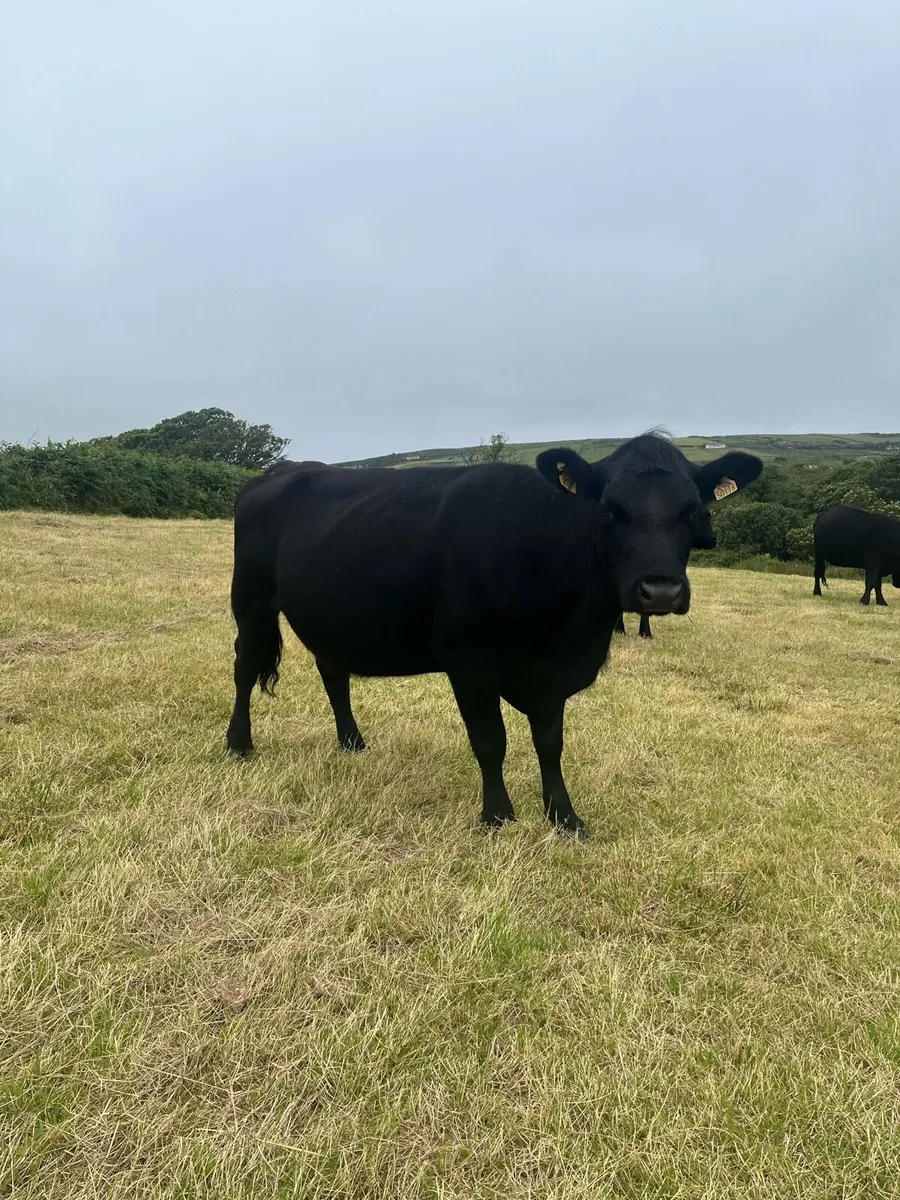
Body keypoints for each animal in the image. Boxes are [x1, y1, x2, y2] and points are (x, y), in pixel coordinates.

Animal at [226, 434, 762, 837]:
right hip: (250, 600)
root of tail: (274, 473)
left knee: (332, 671)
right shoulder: (468, 659)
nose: (660, 590)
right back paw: (238, 744)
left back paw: (353, 742)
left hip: (330, 615)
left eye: (693, 509)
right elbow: (490, 740)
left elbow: (550, 743)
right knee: (245, 666)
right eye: (609, 509)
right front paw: (499, 815)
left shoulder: (552, 672)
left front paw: (564, 817)